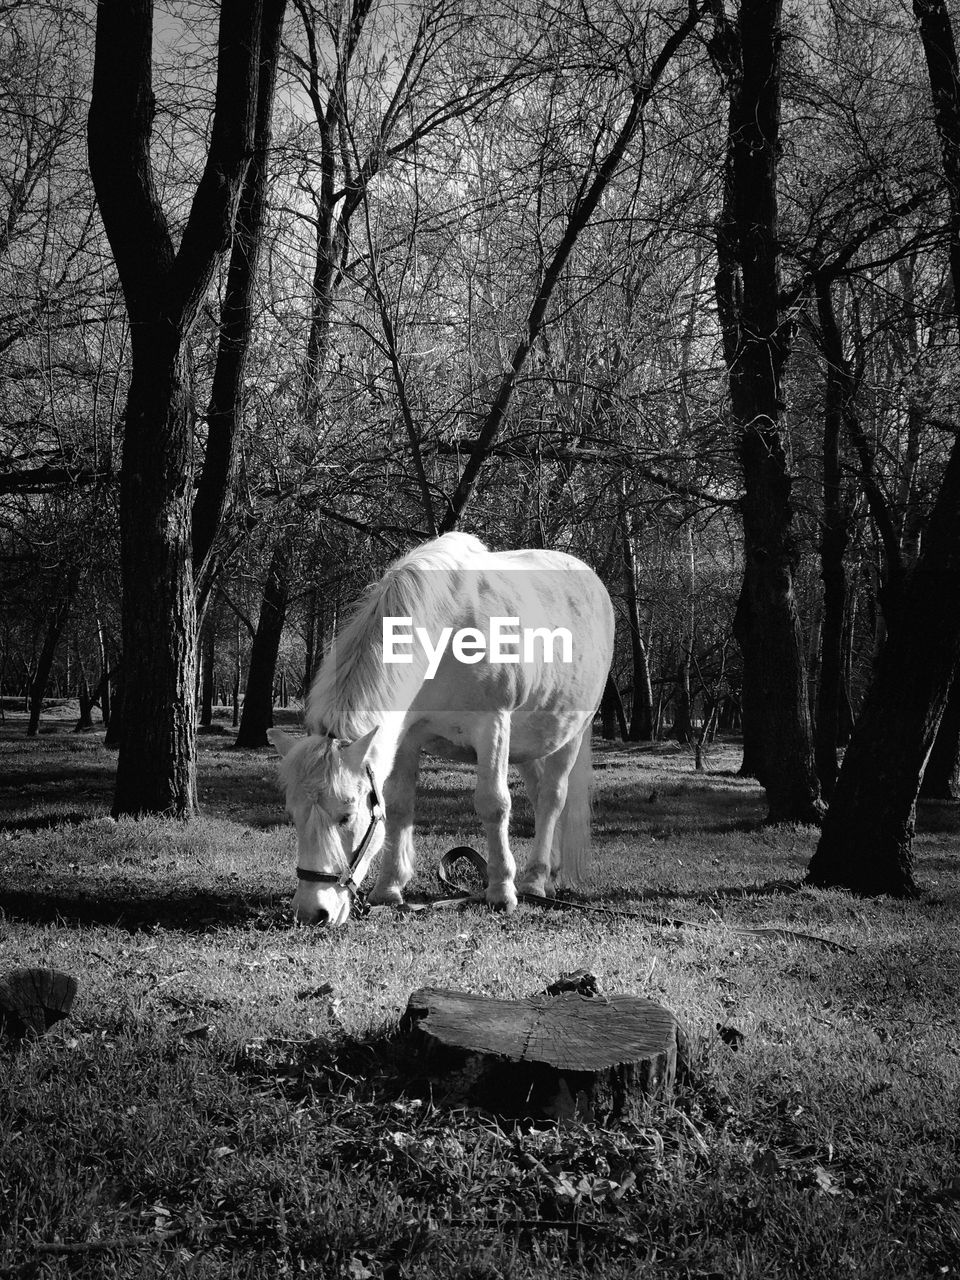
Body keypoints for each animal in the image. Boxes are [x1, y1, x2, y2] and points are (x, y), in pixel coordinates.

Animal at [268, 535, 616, 926]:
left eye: (347, 815)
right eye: (294, 815)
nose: (312, 912)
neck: (445, 630)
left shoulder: (493, 725)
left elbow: (494, 804)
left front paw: (501, 892)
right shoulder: (406, 735)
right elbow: (399, 805)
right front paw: (389, 888)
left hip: (571, 733)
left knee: (553, 798)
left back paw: (535, 879)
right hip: (530, 743)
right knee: (540, 793)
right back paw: (547, 872)